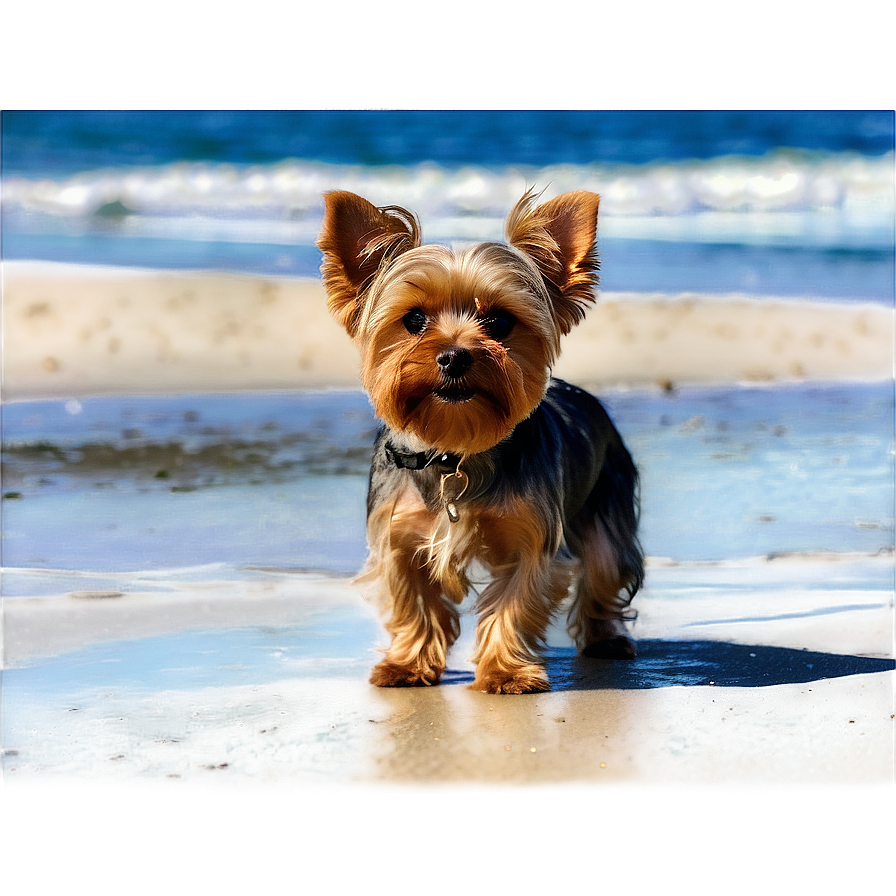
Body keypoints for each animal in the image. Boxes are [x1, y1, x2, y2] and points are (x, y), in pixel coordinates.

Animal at [318, 187, 640, 692]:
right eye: (413, 319)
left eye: (501, 322)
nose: (454, 356)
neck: (453, 452)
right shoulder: (396, 538)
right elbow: (412, 604)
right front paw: (408, 665)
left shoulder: (533, 537)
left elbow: (515, 602)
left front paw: (507, 671)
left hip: (608, 502)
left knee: (605, 568)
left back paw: (606, 639)